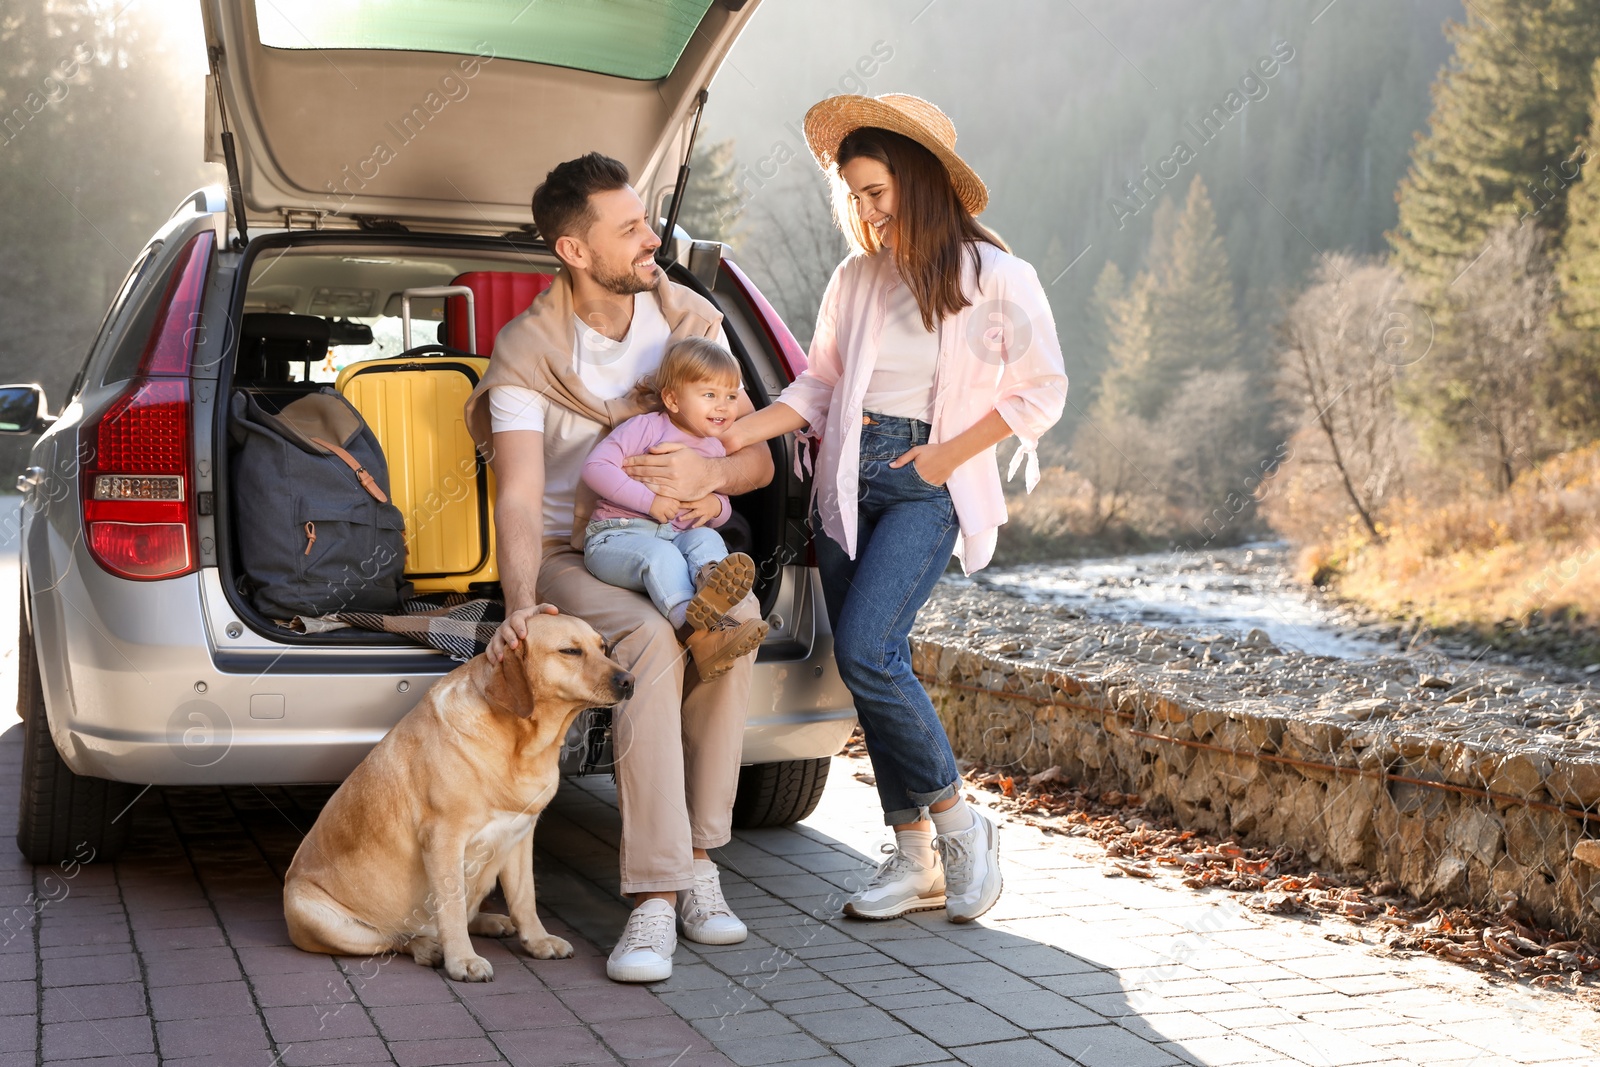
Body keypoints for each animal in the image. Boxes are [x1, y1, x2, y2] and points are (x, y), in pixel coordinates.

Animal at [284, 614, 633, 979]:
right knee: (395, 939)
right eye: (570, 651)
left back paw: (490, 922)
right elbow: (450, 909)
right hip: (316, 913)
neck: (521, 746)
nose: (629, 680)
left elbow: (525, 899)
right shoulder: (444, 839)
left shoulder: (521, 835)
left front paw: (538, 940)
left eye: (602, 647)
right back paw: (428, 946)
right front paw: (463, 959)